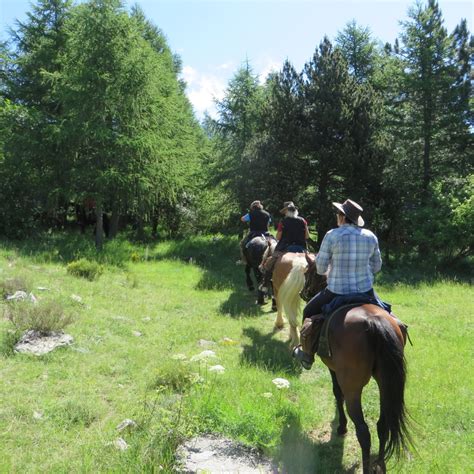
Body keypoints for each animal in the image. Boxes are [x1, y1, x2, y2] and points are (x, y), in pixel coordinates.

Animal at [304, 256, 412, 474]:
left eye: (306, 273)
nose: (303, 293)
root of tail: (375, 322)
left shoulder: (333, 369)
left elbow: (337, 393)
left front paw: (341, 427)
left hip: (353, 387)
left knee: (363, 431)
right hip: (386, 383)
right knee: (382, 425)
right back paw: (380, 464)